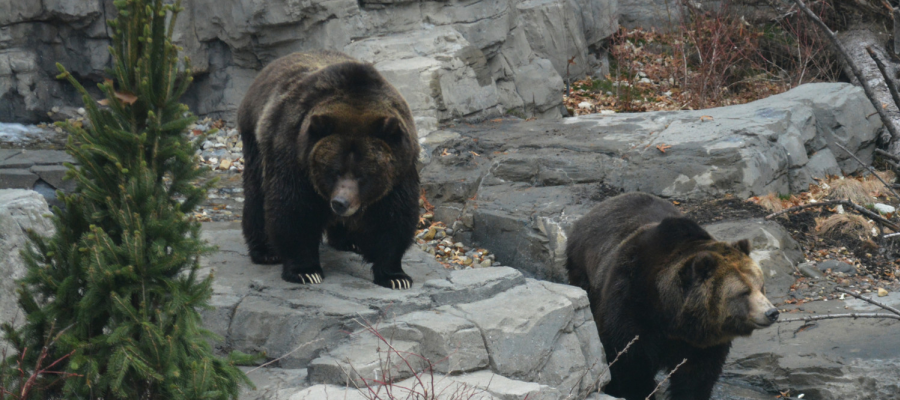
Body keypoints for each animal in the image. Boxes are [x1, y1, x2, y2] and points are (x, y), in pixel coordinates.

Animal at [239, 50, 422, 290]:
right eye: (334, 171)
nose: (340, 203)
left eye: (363, 175)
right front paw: (306, 271)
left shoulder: (401, 168)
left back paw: (350, 241)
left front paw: (395, 276)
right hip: (256, 138)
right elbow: (294, 209)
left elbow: (394, 216)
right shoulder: (294, 155)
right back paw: (266, 251)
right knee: (256, 193)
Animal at [568, 192, 780, 398]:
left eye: (761, 286)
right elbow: (630, 363)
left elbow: (696, 377)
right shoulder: (630, 303)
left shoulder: (701, 342)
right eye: (744, 292)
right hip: (583, 272)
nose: (772, 312)